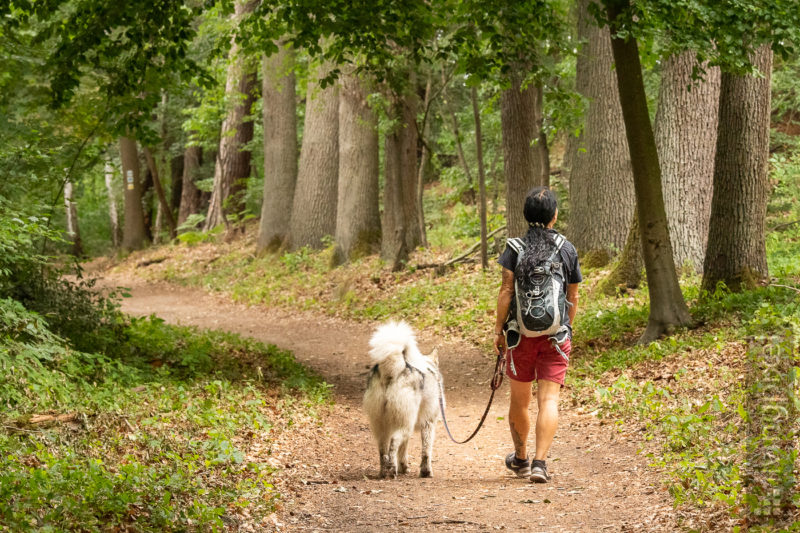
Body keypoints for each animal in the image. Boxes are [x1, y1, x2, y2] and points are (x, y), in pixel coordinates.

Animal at [364, 320, 440, 478]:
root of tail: (393, 368)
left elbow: (403, 450)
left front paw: (404, 467)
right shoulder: (428, 423)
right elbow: (426, 451)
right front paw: (426, 471)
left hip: (382, 426)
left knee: (383, 449)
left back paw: (384, 472)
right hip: (404, 424)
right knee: (394, 443)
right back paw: (392, 470)